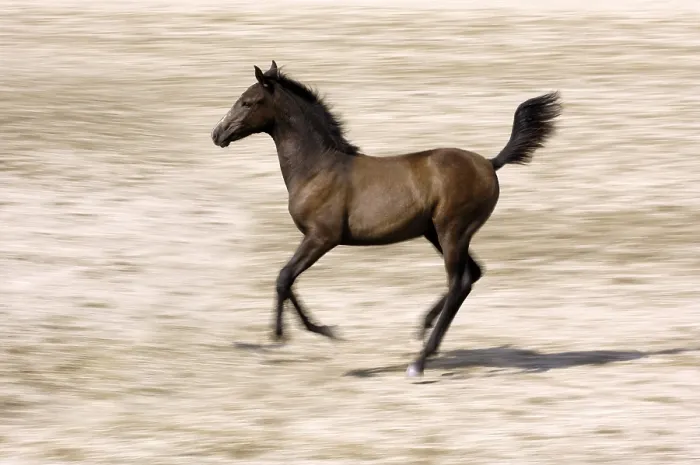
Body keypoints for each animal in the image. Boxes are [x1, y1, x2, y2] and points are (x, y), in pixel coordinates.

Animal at [211, 61, 562, 377]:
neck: (318, 168)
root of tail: (490, 163)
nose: (217, 133)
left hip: (453, 231)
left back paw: (420, 360)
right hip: (436, 233)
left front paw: (293, 334)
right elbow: (287, 279)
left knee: (459, 282)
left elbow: (284, 277)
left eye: (248, 101)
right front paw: (313, 330)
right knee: (473, 274)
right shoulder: (314, 238)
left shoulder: (322, 237)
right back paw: (425, 329)